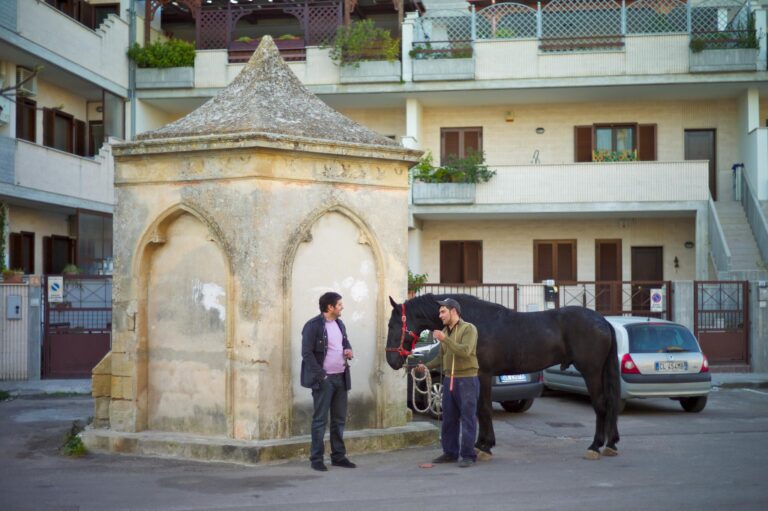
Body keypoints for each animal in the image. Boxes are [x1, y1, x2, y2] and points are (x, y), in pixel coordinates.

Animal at [388, 292, 620, 460]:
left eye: (393, 325)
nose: (392, 361)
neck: (475, 321)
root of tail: (603, 321)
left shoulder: (483, 375)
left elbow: (483, 409)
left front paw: (485, 446)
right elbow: (480, 410)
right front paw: (482, 444)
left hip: (591, 372)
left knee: (601, 405)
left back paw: (595, 446)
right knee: (610, 403)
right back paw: (610, 444)